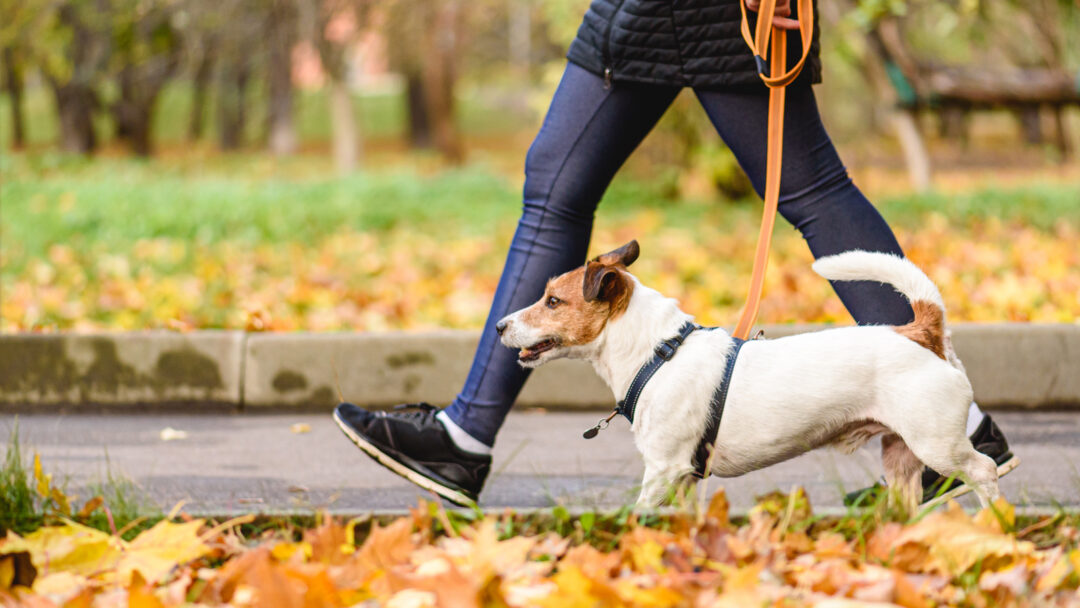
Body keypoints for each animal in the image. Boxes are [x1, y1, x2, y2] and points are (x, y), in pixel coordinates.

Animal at [494, 240, 997, 511]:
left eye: (552, 301)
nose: (499, 326)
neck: (658, 354)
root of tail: (921, 331)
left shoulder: (663, 469)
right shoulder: (684, 478)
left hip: (938, 445)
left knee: (984, 470)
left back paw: (997, 521)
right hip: (901, 458)